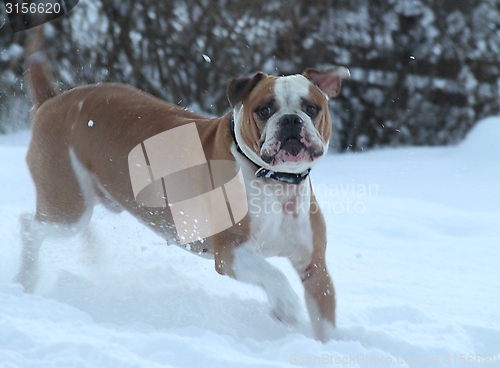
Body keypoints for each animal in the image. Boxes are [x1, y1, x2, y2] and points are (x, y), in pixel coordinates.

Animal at [17, 29, 350, 342]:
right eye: (265, 109)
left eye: (311, 108)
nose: (291, 119)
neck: (274, 181)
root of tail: (53, 100)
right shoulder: (231, 252)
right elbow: (273, 272)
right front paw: (286, 305)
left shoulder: (314, 266)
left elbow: (325, 318)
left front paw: (330, 347)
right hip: (66, 205)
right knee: (30, 228)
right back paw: (26, 280)